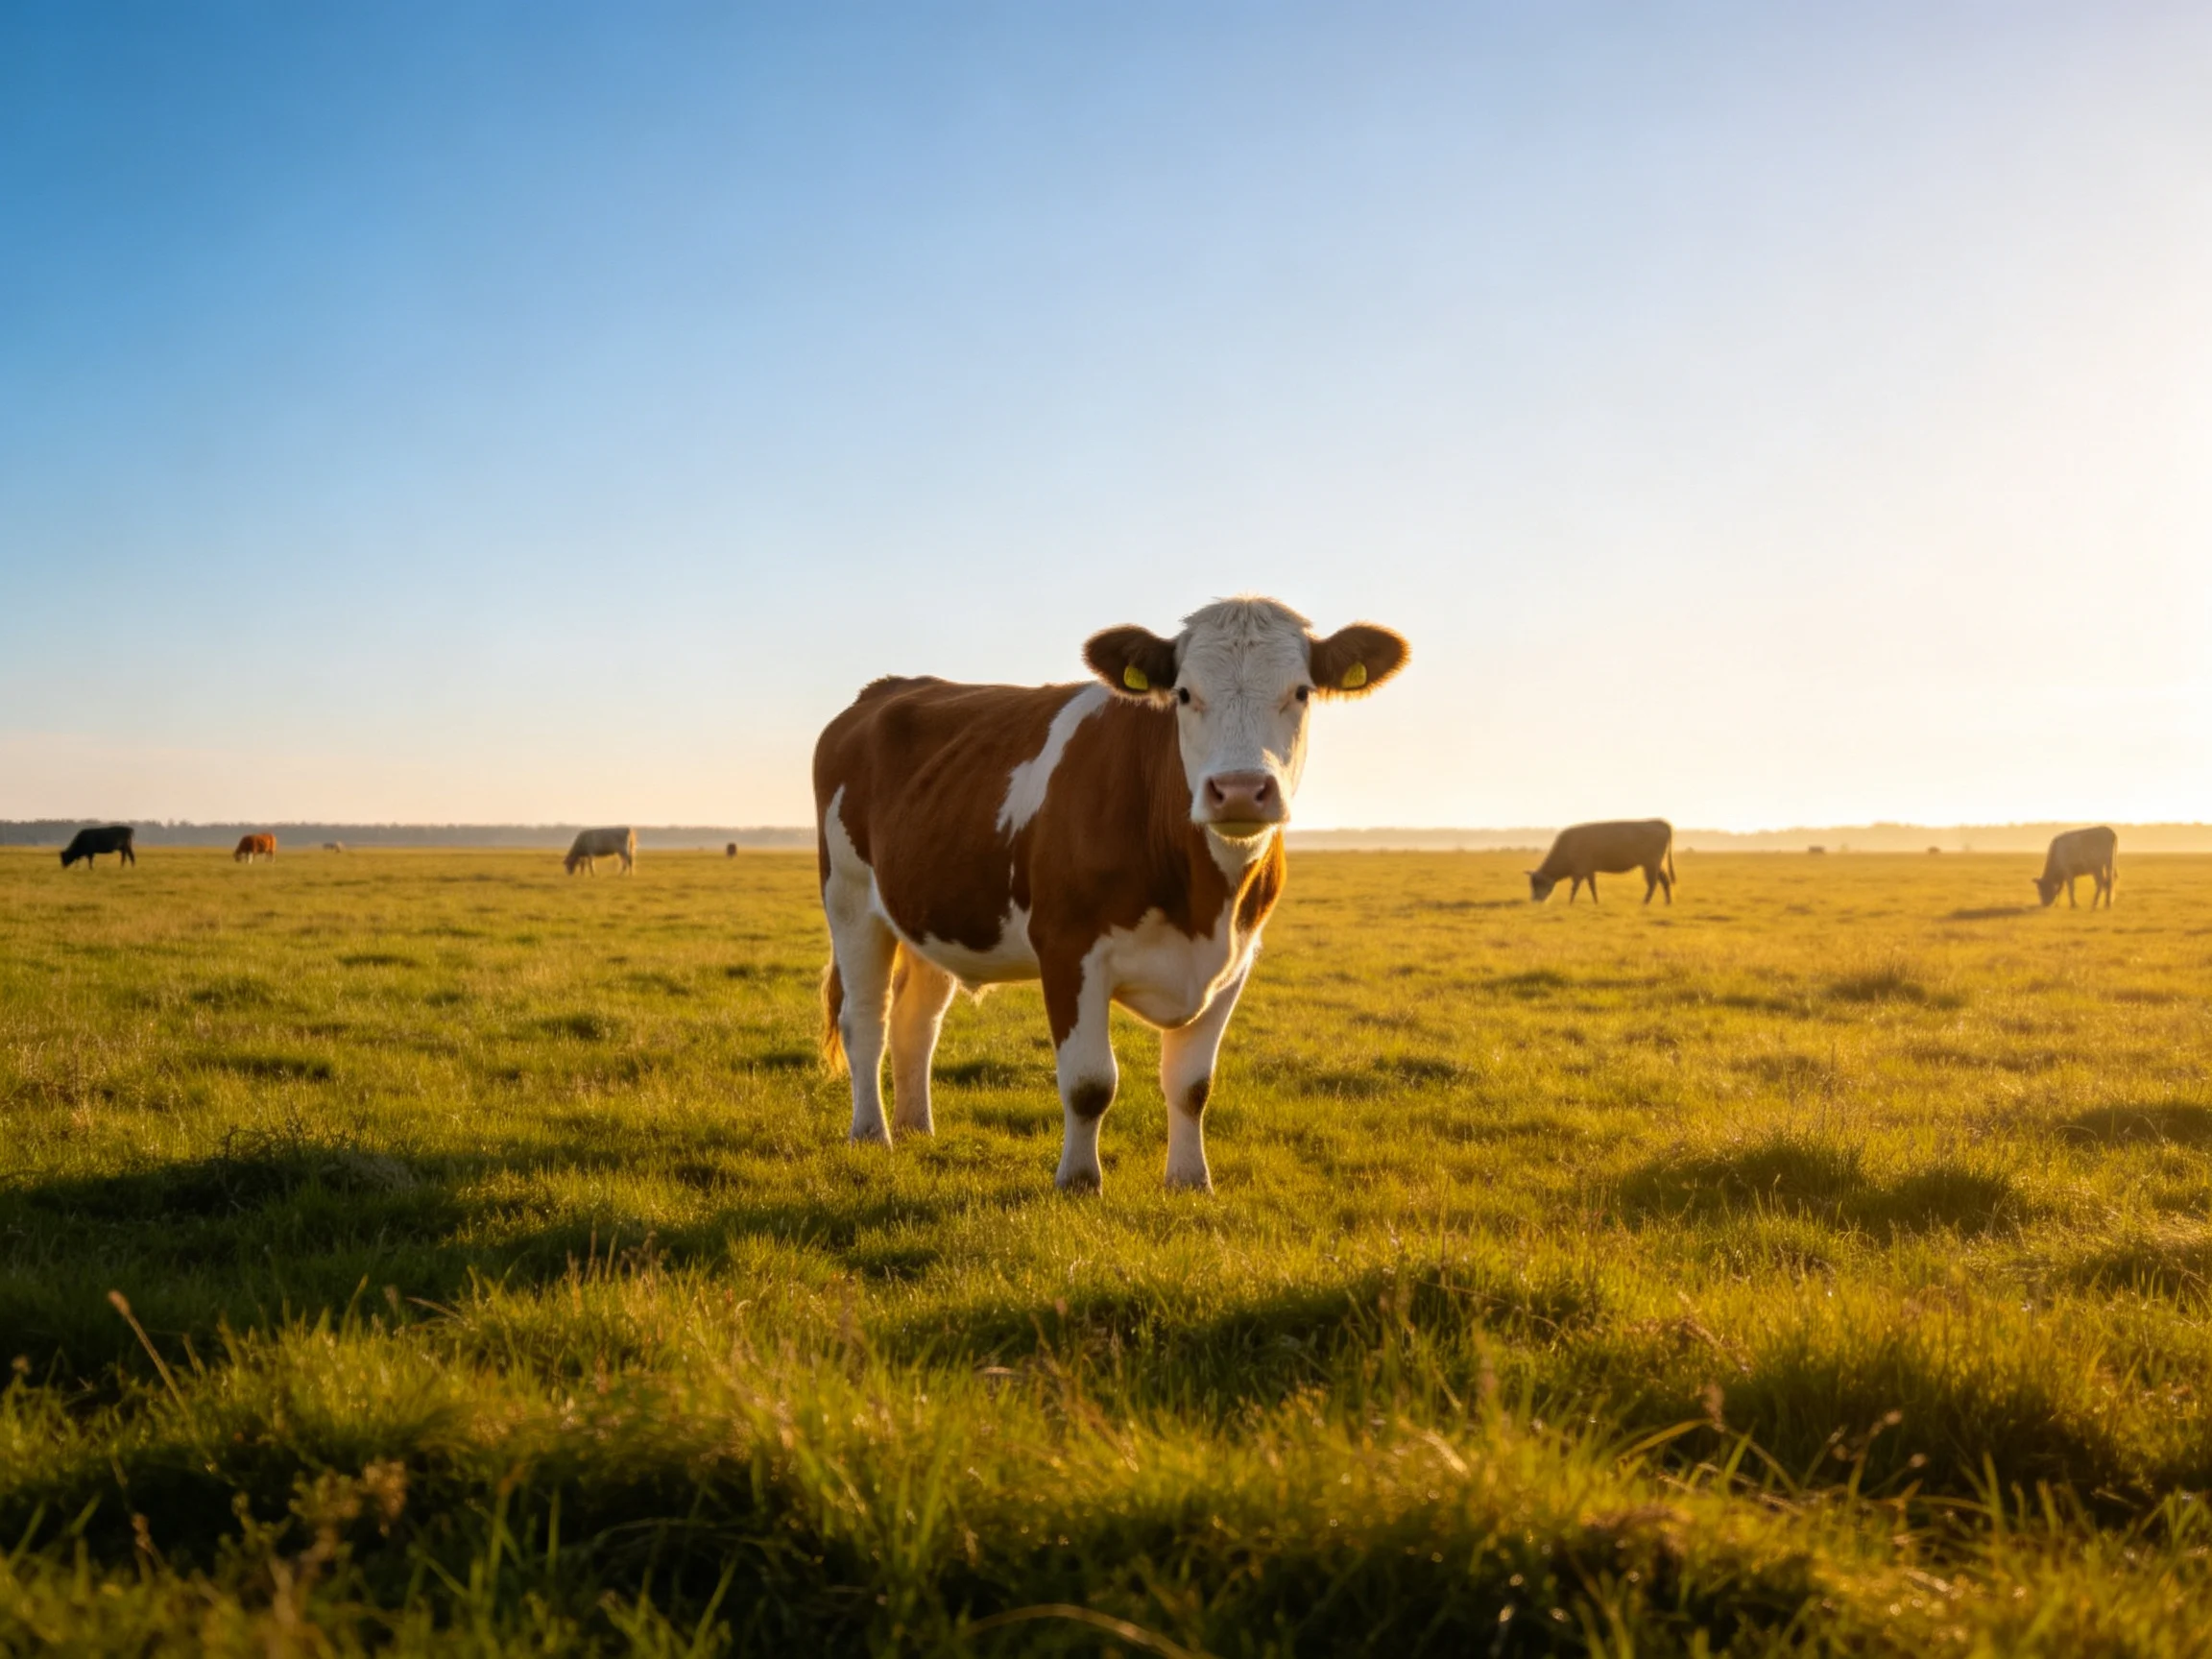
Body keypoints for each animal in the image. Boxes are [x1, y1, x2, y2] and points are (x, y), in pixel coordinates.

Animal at [813, 597, 1409, 1195]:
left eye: (1302, 692)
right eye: (1184, 693)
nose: (1240, 790)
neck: (1201, 901)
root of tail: (883, 690)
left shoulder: (1236, 958)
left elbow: (1193, 1084)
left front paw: (1190, 1182)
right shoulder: (1068, 946)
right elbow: (1089, 1082)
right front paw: (1079, 1181)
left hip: (930, 916)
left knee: (916, 1022)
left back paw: (917, 1129)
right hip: (849, 901)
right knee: (865, 1020)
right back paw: (872, 1133)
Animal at [1528, 820, 1675, 905]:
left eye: (1538, 883)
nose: (1534, 901)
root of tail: (1658, 822)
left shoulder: (1579, 871)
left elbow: (1575, 887)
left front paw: (1570, 903)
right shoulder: (1589, 871)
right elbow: (1592, 887)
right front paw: (1596, 902)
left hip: (1650, 864)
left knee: (1653, 883)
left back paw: (1645, 902)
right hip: (1655, 864)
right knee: (1664, 880)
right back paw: (1667, 903)